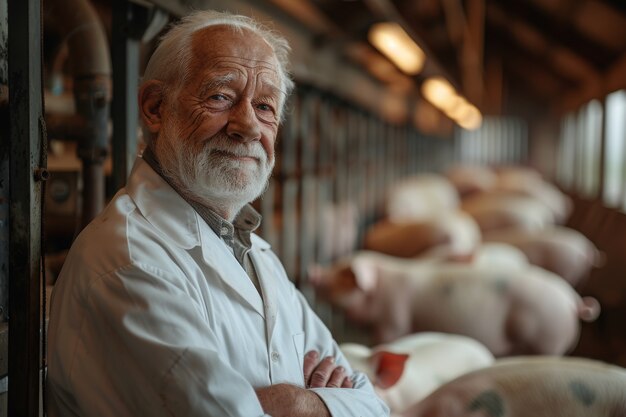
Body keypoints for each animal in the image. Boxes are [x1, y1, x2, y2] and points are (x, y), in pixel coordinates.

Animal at [308, 250, 600, 354]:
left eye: (344, 274)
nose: (314, 271)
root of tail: (574, 301)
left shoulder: (393, 319)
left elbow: (388, 338)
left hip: (547, 336)